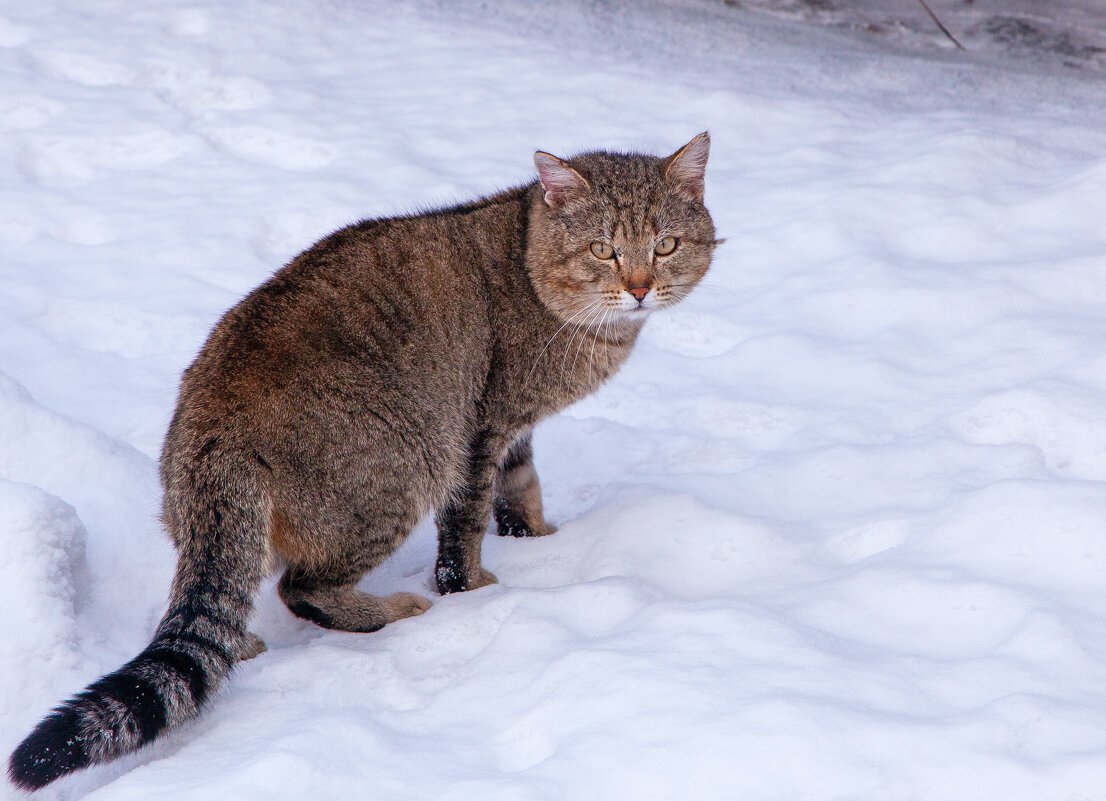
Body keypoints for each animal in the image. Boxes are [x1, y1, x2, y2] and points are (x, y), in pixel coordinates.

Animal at [8, 131, 716, 787]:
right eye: (603, 249)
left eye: (665, 246)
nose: (640, 287)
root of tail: (216, 427)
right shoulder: (481, 427)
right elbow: (466, 528)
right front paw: (477, 592)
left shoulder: (514, 429)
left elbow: (523, 485)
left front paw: (540, 537)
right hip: (403, 469)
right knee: (302, 588)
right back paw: (388, 611)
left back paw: (244, 641)